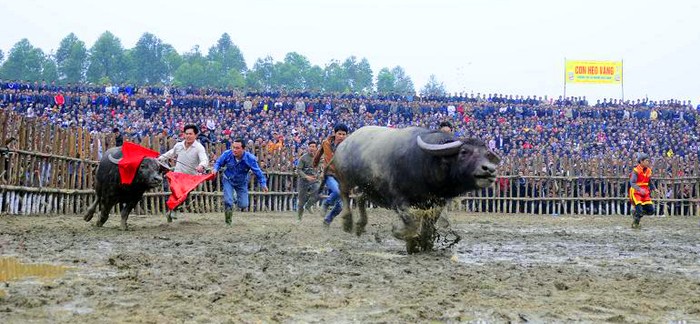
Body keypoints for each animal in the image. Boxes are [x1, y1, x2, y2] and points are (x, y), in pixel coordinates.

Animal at [332, 126, 500, 253]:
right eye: (464, 152)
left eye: (487, 154)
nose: (490, 169)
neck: (427, 164)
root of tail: (345, 143)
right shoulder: (400, 200)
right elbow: (412, 223)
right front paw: (404, 236)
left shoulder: (435, 203)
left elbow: (428, 225)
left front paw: (425, 244)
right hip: (345, 179)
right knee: (344, 194)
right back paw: (347, 222)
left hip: (368, 187)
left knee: (360, 198)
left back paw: (360, 225)